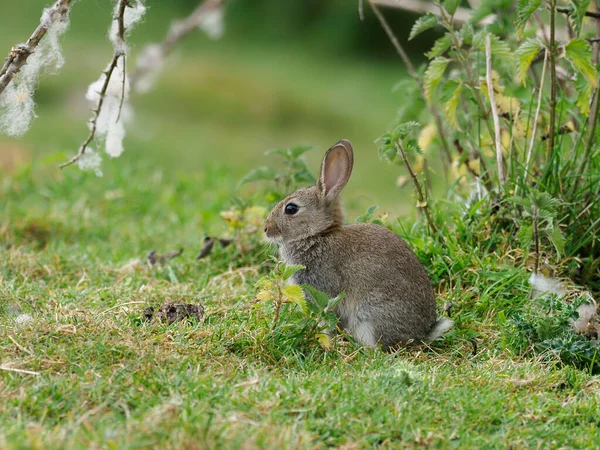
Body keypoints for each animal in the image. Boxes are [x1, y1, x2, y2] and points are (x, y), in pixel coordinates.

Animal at [262, 139, 450, 350]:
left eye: (291, 209)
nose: (266, 229)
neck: (317, 235)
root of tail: (422, 334)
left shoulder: (325, 291)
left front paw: (326, 342)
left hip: (370, 314)